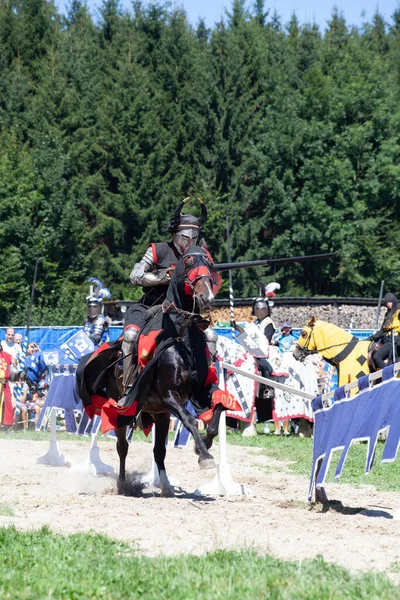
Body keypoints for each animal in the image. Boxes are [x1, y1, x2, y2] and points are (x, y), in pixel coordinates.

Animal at [77, 247, 231, 496]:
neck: (182, 339)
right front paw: (205, 455)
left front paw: (204, 445)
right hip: (124, 408)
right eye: (188, 262)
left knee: (159, 451)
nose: (206, 298)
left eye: (210, 264)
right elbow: (190, 419)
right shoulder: (170, 396)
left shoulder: (200, 391)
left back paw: (166, 486)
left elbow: (217, 409)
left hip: (160, 413)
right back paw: (122, 484)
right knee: (122, 446)